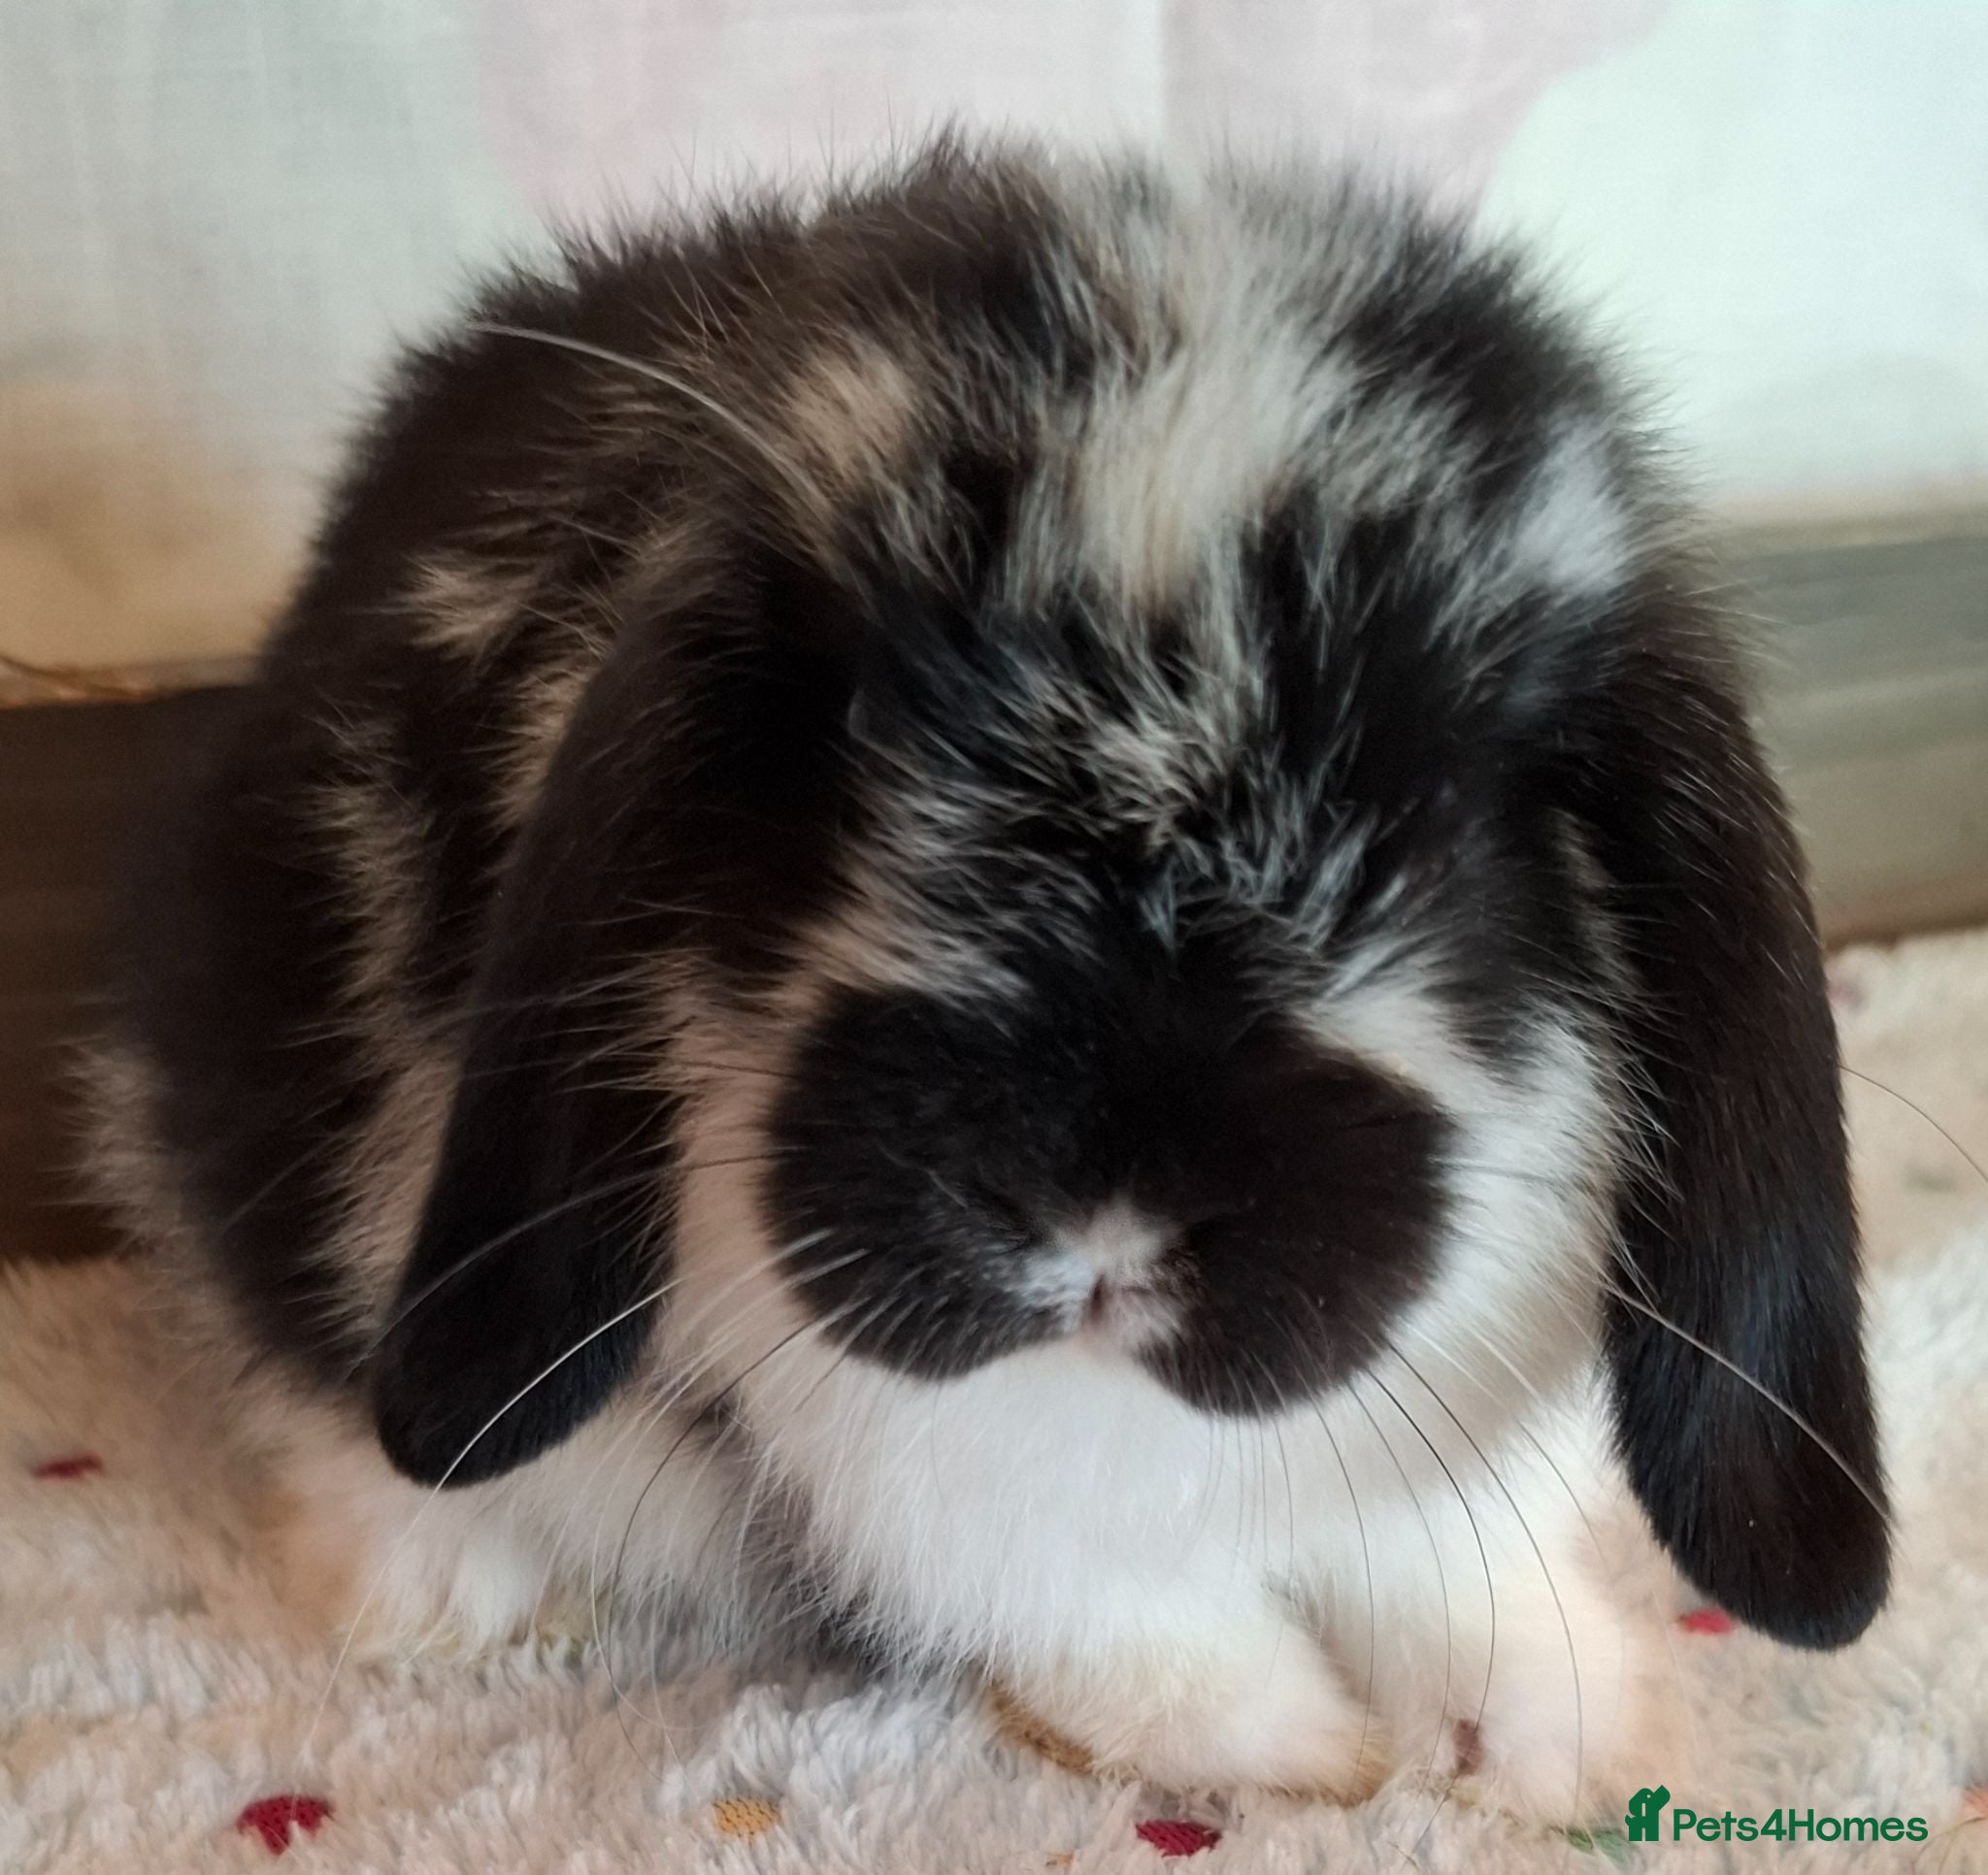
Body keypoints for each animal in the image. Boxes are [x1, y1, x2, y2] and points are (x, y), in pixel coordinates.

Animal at [84, 138, 1888, 1820]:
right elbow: (1065, 1592)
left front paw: (1548, 1727)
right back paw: (437, 1588)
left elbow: (1435, 1561)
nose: (1101, 1212)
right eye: (841, 741)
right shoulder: (920, 1466)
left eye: (1449, 824)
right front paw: (1289, 1742)